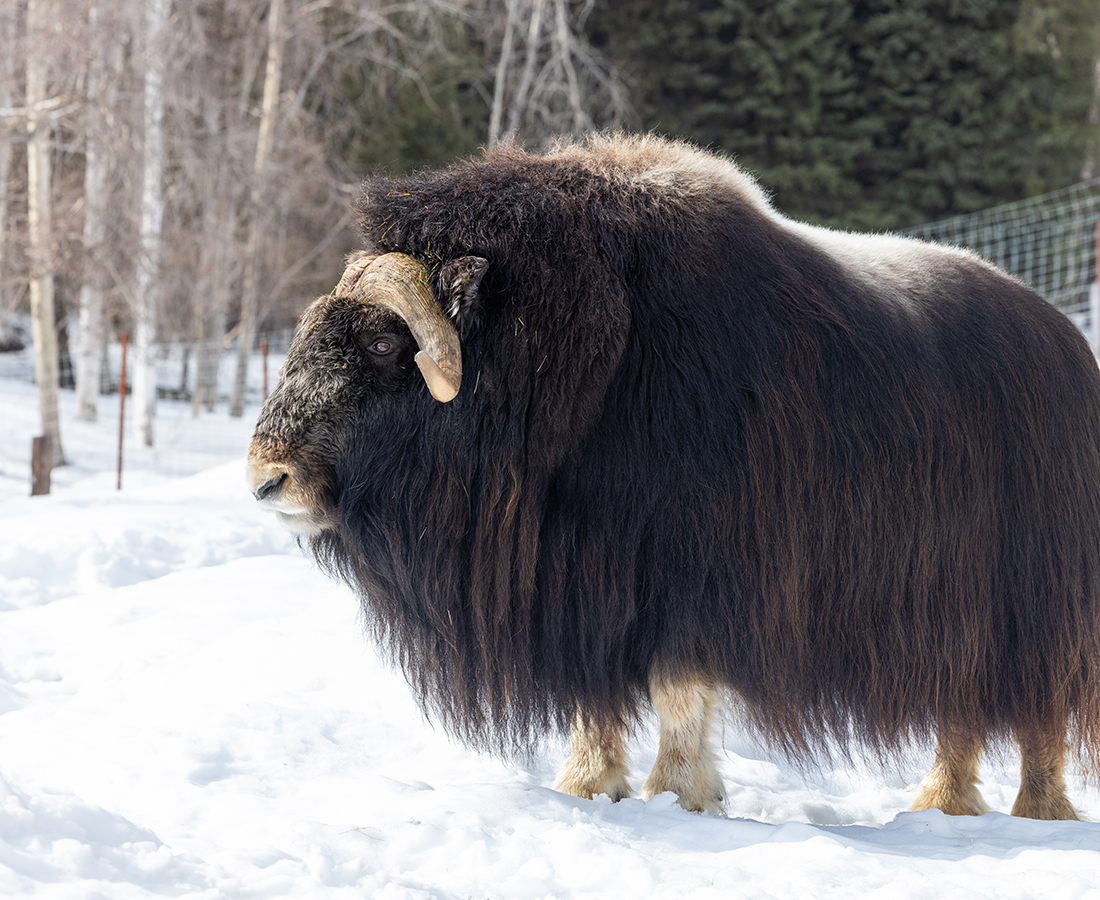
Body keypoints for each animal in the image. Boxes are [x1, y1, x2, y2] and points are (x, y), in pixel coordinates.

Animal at [247, 133, 1100, 819]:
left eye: (384, 343)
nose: (265, 479)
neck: (571, 380)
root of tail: (1071, 350)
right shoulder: (580, 584)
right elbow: (595, 698)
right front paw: (588, 788)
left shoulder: (696, 574)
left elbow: (678, 686)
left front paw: (678, 796)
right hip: (957, 617)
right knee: (964, 705)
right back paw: (942, 804)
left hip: (1033, 603)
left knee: (1037, 709)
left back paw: (1034, 811)